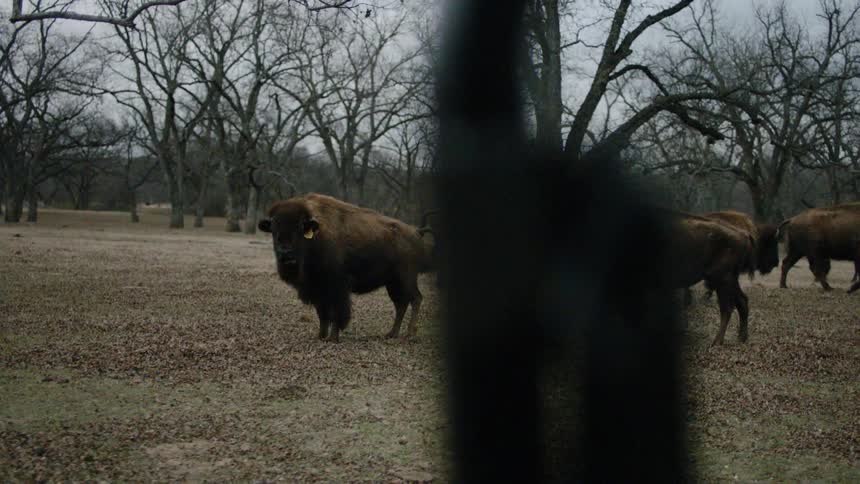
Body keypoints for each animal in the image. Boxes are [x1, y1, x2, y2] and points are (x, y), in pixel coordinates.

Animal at [258, 193, 435, 342]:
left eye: (300, 228)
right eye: (273, 230)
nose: (286, 254)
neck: (316, 236)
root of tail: (416, 232)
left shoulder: (337, 287)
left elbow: (337, 312)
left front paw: (333, 338)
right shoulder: (317, 289)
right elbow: (322, 314)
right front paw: (321, 336)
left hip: (406, 278)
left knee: (416, 299)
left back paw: (410, 334)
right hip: (392, 283)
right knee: (401, 304)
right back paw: (391, 334)